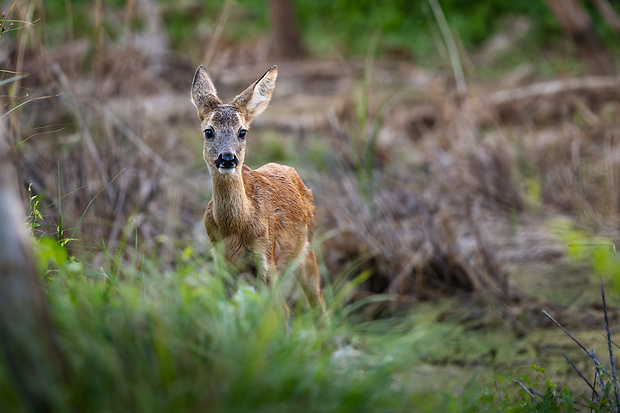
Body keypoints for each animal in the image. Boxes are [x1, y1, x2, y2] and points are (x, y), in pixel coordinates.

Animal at [190, 64, 330, 318]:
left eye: (242, 131)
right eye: (208, 131)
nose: (227, 158)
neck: (235, 227)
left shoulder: (265, 256)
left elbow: (280, 311)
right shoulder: (223, 263)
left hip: (307, 250)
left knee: (318, 304)